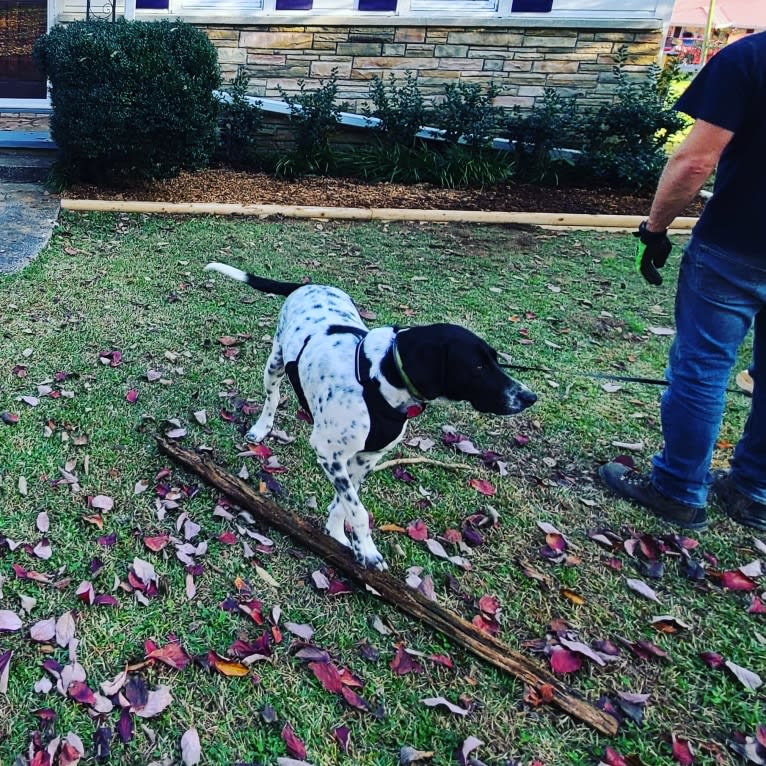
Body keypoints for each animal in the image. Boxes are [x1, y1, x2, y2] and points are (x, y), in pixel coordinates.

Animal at [207, 264, 536, 568]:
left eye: (495, 360)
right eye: (476, 366)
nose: (529, 397)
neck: (379, 378)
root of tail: (310, 285)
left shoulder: (368, 457)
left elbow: (345, 503)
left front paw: (339, 535)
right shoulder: (329, 453)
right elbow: (358, 509)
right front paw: (367, 550)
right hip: (274, 363)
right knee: (272, 397)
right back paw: (261, 427)